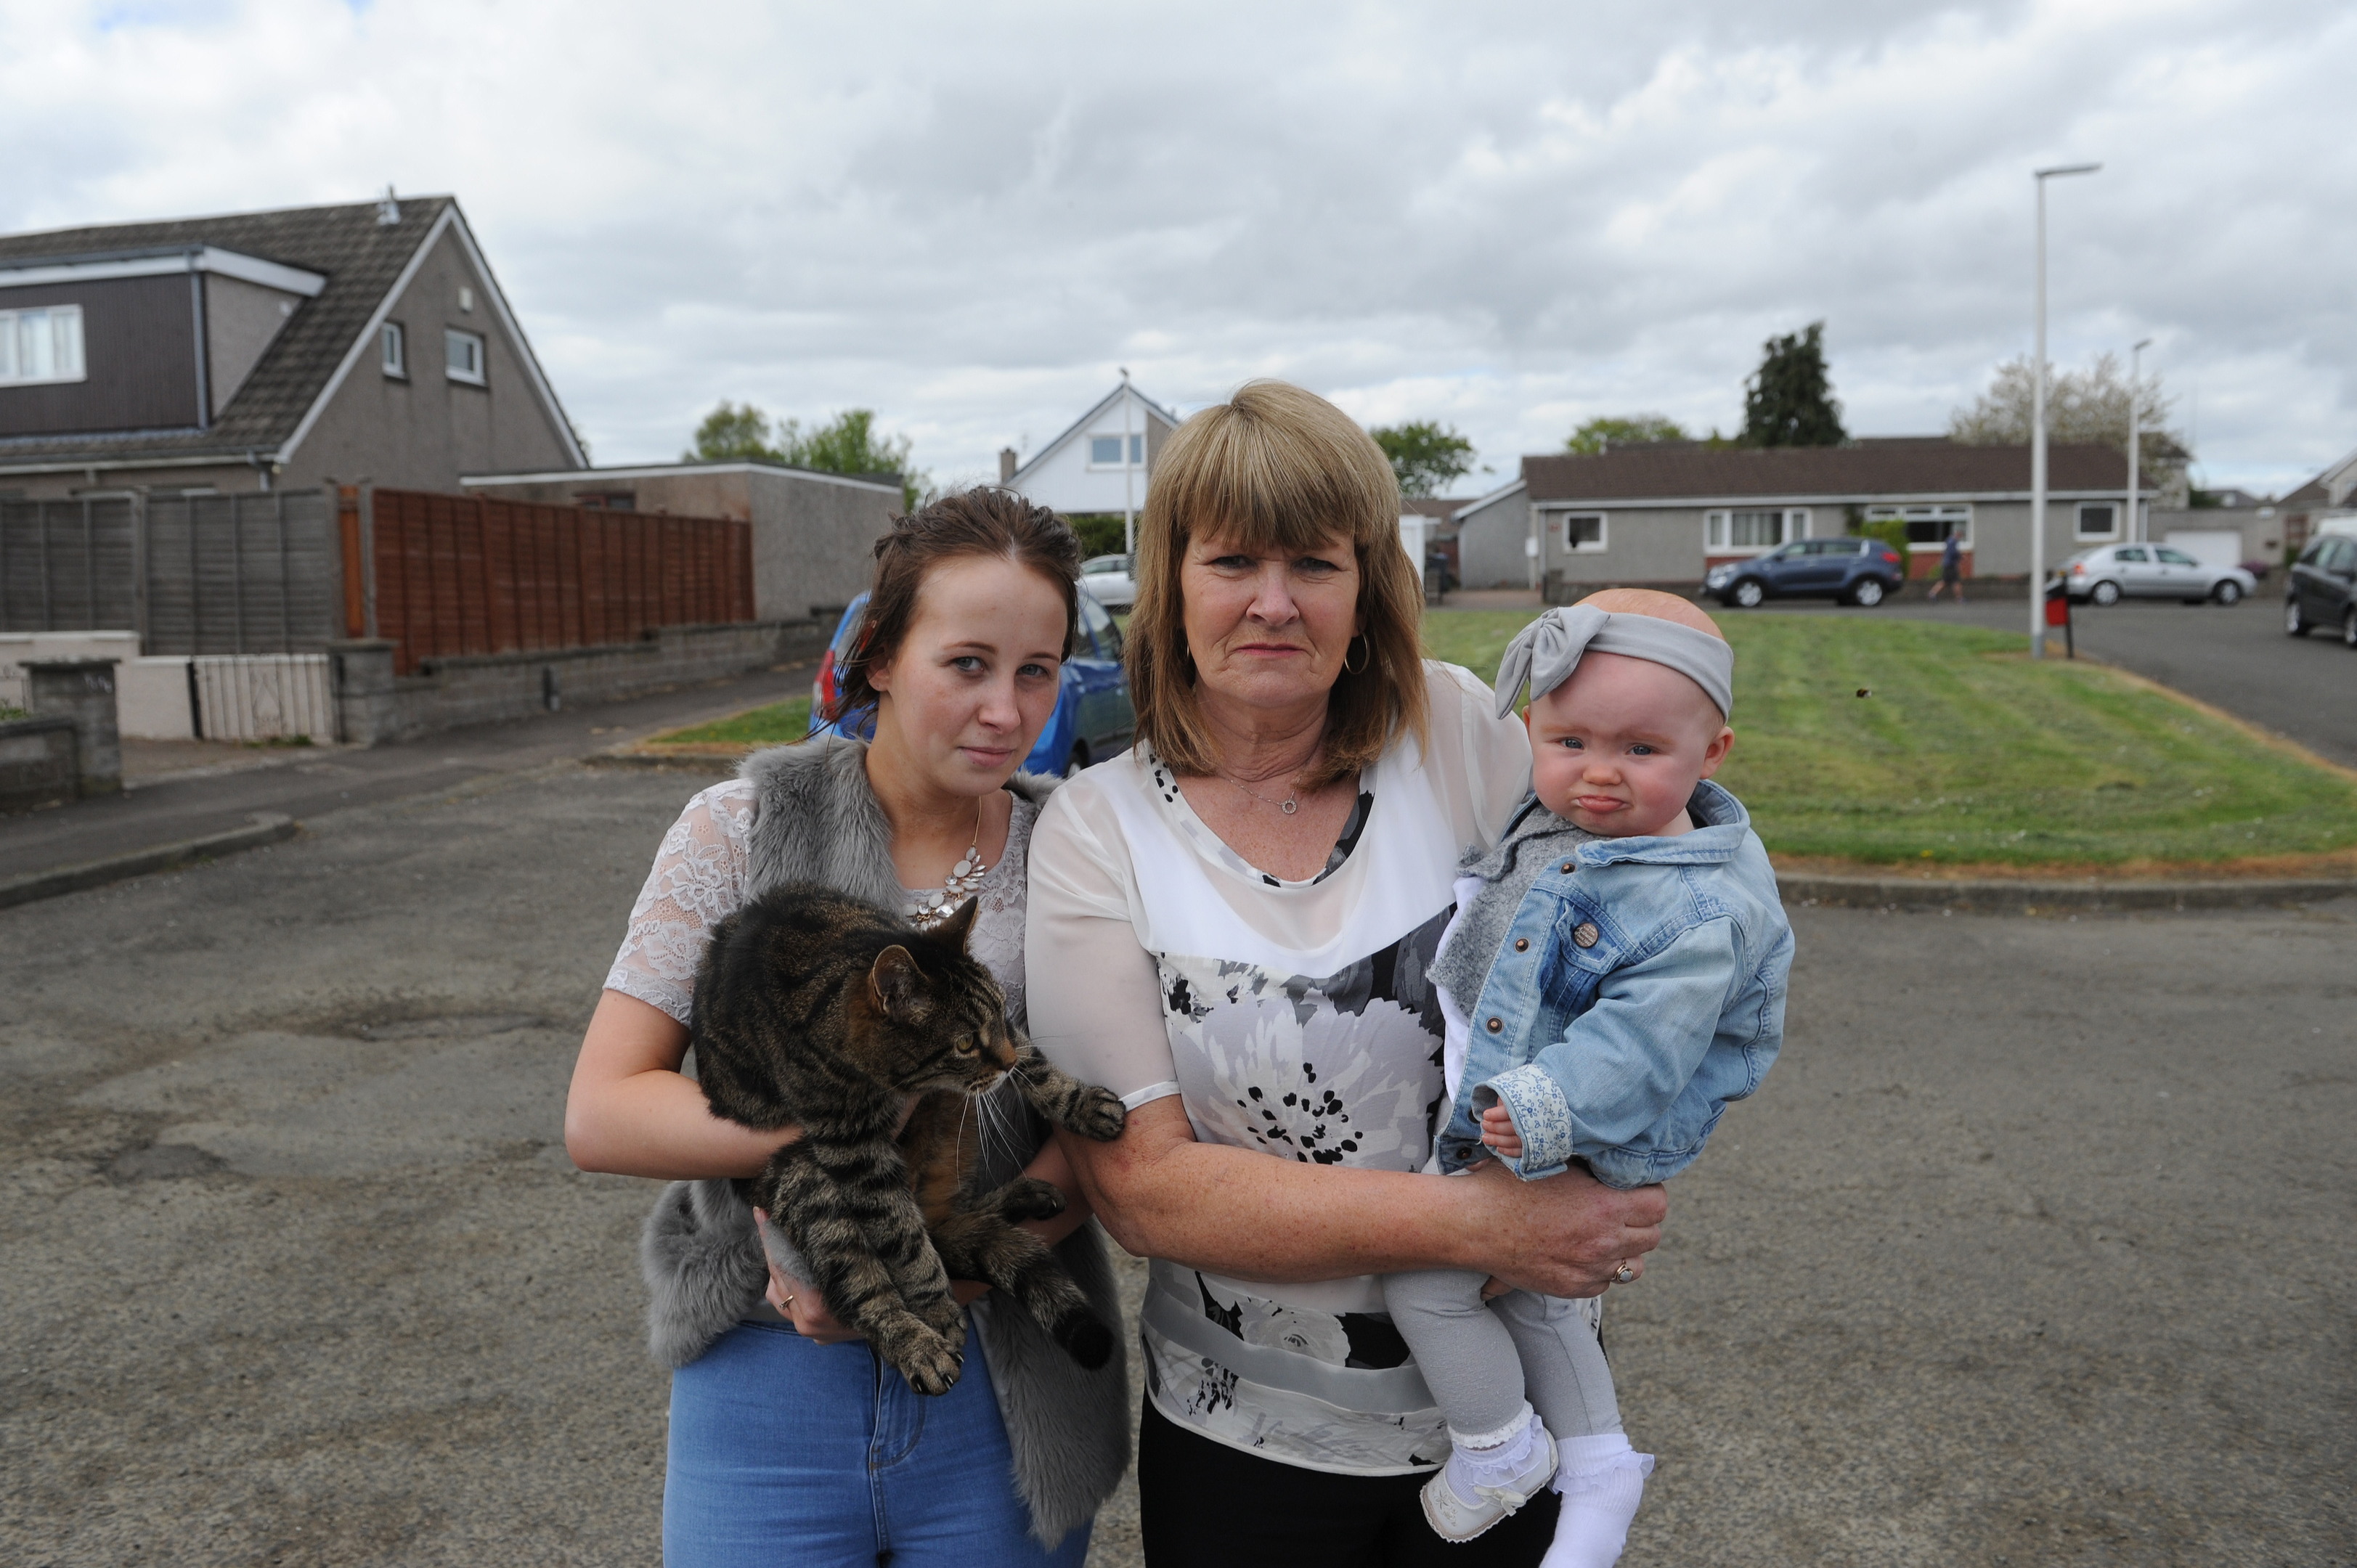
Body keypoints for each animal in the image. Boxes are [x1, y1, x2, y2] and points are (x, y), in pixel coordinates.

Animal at [688, 881, 1131, 1395]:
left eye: (1002, 1012)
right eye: (964, 1043)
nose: (1002, 1065)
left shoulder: (1007, 1043)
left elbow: (1036, 1065)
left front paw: (1079, 1104)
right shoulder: (854, 1146)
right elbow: (903, 1240)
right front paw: (935, 1308)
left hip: (945, 1126)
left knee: (941, 1225)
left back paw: (1021, 1198)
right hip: (805, 1181)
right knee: (873, 1278)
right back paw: (916, 1342)